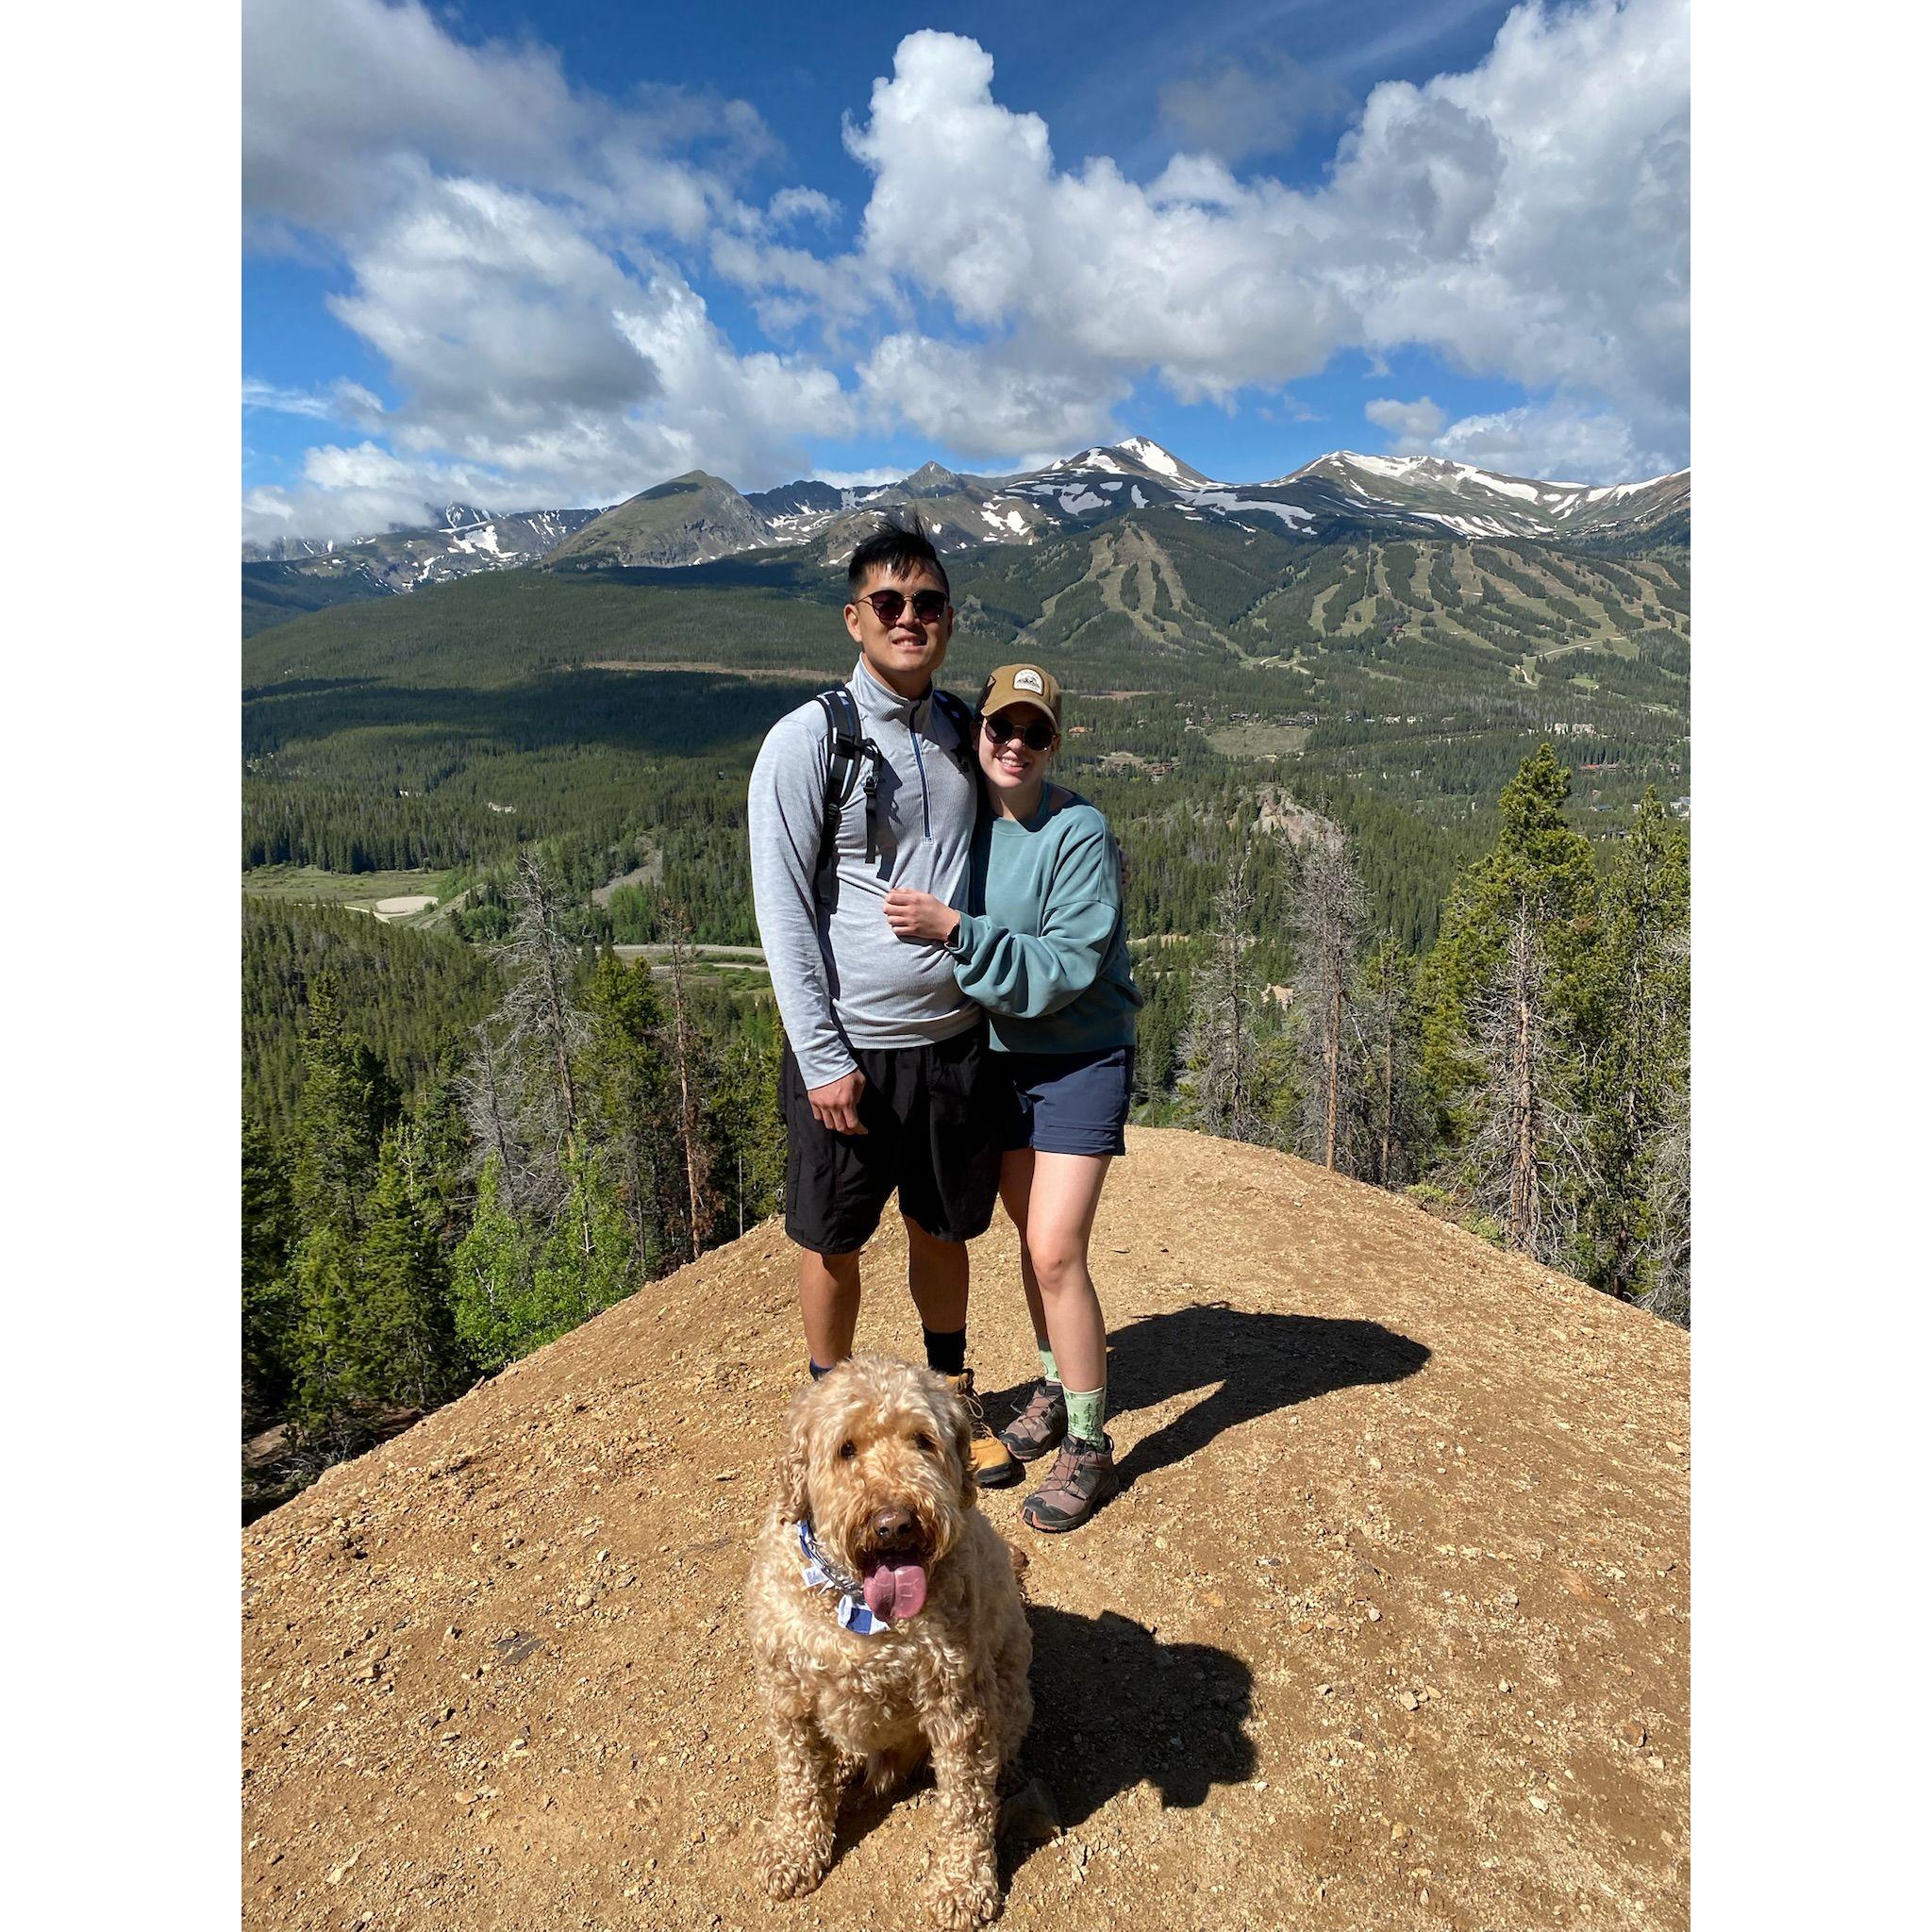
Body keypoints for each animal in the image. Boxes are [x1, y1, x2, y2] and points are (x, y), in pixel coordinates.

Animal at [741, 1359, 1042, 1932]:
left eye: (923, 1440)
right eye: (846, 1448)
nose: (896, 1522)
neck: (856, 1603)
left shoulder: (958, 1704)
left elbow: (966, 1804)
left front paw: (961, 1884)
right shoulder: (788, 1695)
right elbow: (799, 1781)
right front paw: (793, 1849)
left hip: (1011, 1683)